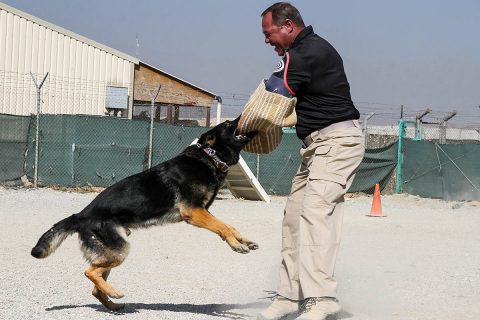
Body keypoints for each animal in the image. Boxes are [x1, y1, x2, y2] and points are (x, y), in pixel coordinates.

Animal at [31, 116, 258, 312]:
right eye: (228, 123)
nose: (244, 118)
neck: (209, 157)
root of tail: (80, 215)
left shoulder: (203, 211)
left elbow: (229, 225)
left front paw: (244, 240)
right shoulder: (194, 212)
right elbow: (223, 227)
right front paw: (236, 245)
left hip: (113, 252)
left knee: (95, 286)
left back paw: (113, 304)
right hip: (119, 250)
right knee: (90, 272)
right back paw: (115, 293)